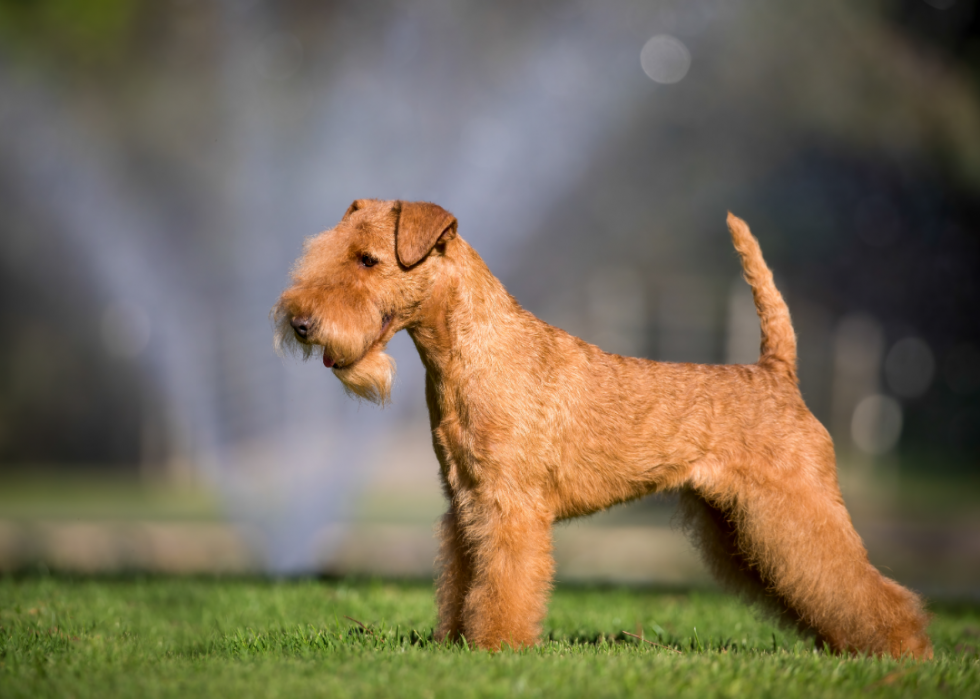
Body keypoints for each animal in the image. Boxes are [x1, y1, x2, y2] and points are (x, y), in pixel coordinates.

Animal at [272, 200, 932, 660]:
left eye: (367, 259)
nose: (300, 323)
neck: (469, 351)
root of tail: (776, 371)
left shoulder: (509, 508)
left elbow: (502, 586)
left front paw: (494, 650)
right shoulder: (465, 505)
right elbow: (463, 582)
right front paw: (456, 643)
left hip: (795, 508)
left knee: (867, 586)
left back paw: (905, 651)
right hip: (742, 525)